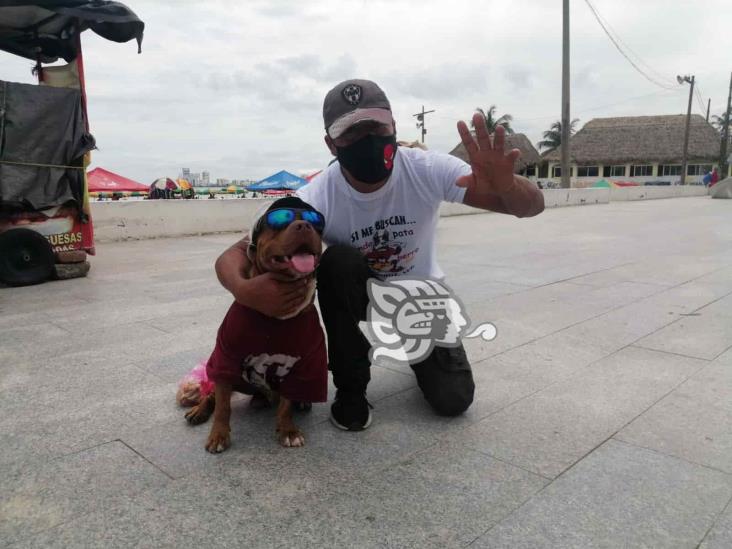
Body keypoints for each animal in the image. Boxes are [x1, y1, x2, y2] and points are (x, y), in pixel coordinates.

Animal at [184, 197, 328, 450]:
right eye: (280, 222)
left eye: (313, 222)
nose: (304, 226)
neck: (276, 317)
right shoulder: (226, 357)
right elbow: (223, 406)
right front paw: (218, 435)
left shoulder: (301, 364)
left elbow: (286, 404)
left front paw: (288, 430)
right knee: (213, 394)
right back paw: (199, 411)